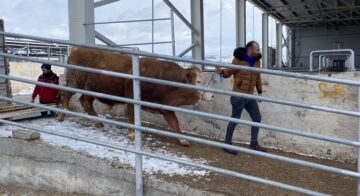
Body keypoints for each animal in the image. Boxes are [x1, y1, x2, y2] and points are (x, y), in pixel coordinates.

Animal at [57, 47, 212, 145]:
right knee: (66, 95)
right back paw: (62, 115)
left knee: (85, 101)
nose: (211, 95)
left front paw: (183, 139)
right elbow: (132, 116)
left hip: (91, 88)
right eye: (198, 81)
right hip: (74, 82)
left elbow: (175, 123)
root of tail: (77, 50)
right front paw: (131, 134)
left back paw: (98, 122)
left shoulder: (165, 106)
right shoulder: (131, 97)